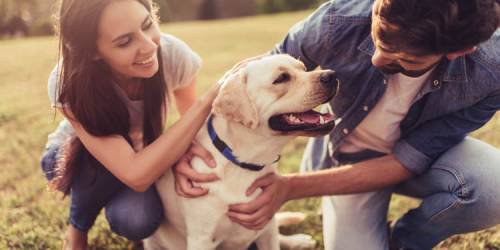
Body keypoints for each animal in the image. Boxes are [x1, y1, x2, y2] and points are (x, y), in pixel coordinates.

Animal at [145, 54, 340, 250]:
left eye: (304, 68)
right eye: (281, 78)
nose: (332, 75)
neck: (246, 163)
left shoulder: (266, 225)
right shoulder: (201, 238)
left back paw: (298, 240)